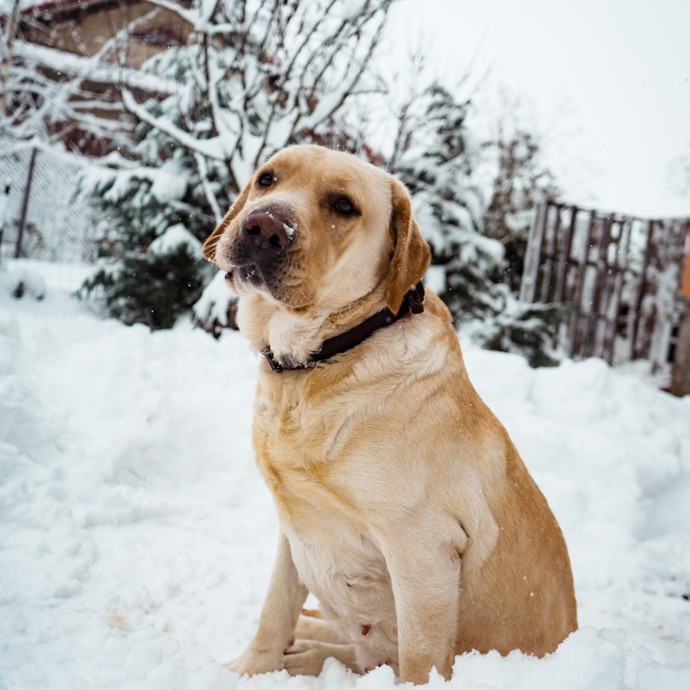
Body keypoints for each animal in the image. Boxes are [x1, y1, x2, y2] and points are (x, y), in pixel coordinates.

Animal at [203, 142, 576, 680]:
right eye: (267, 178)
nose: (263, 226)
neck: (319, 362)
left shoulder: (423, 551)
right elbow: (275, 609)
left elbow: (421, 661)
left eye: (343, 205)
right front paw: (250, 670)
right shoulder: (294, 526)